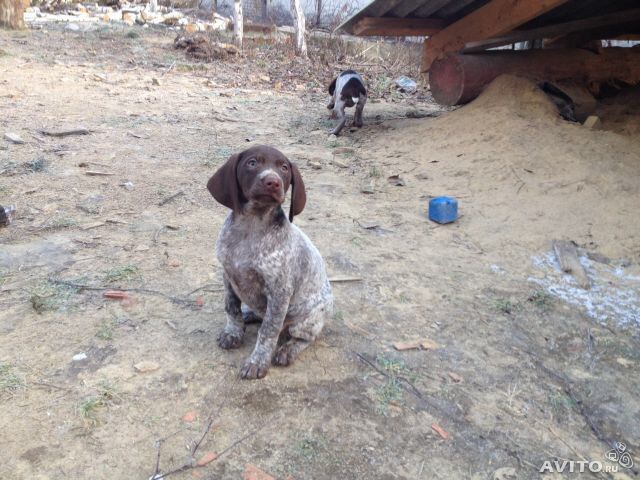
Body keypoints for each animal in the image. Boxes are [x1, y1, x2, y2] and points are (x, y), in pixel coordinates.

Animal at [207, 145, 333, 379]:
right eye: (252, 162)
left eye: (284, 168)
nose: (272, 182)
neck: (251, 227)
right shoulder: (228, 275)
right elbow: (232, 308)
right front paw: (233, 332)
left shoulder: (279, 292)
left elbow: (268, 330)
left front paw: (257, 362)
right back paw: (249, 314)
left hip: (306, 320)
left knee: (305, 337)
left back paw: (287, 350)